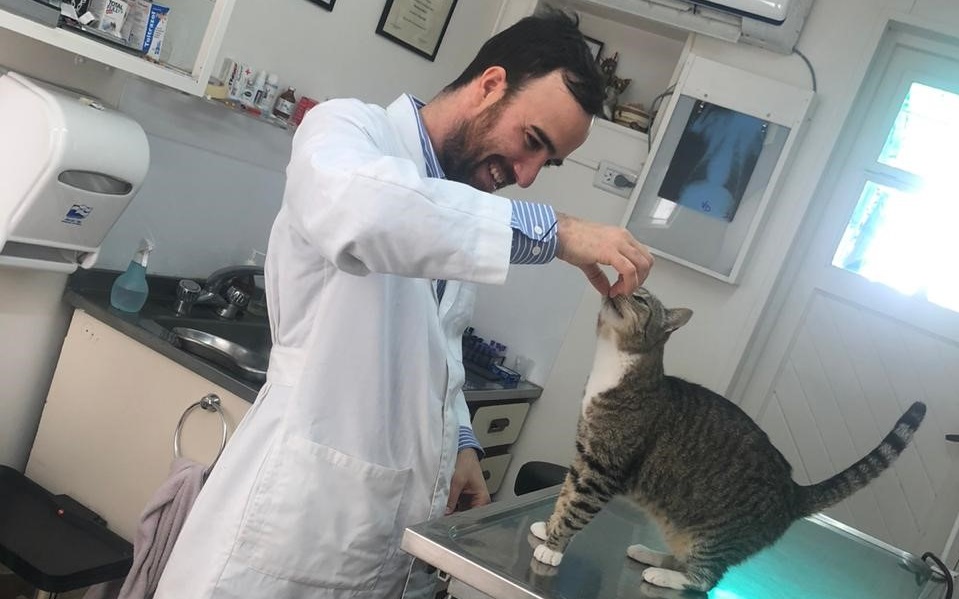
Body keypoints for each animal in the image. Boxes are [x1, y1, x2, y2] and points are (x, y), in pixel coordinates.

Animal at [528, 288, 928, 592]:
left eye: (641, 299)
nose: (621, 288)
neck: (613, 366)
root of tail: (794, 491)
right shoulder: (583, 456)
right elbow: (565, 497)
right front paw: (548, 529)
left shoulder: (604, 467)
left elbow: (578, 507)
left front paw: (553, 548)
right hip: (682, 527)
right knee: (686, 559)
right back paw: (650, 554)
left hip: (713, 536)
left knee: (704, 578)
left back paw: (660, 573)